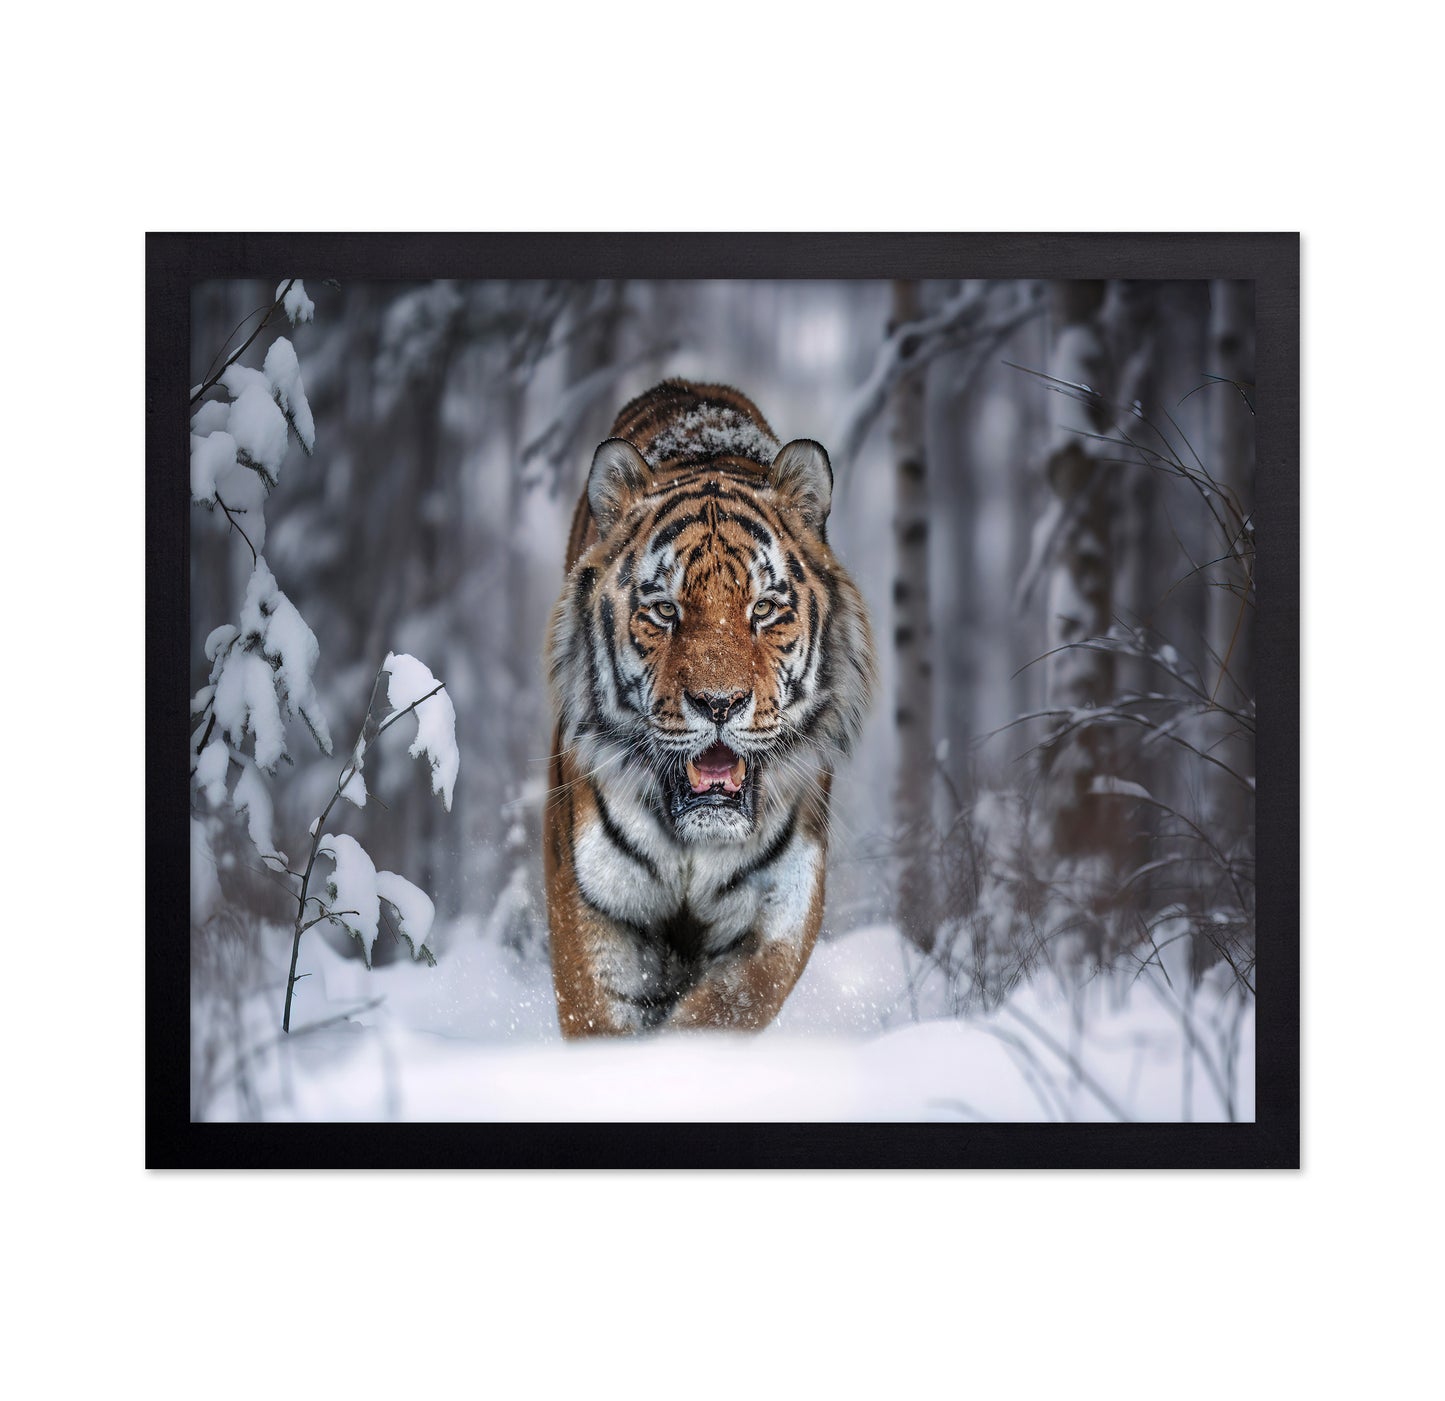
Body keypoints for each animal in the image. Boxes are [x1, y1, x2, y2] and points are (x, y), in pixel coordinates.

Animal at [543, 379, 875, 1037]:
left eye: (764, 609)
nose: (719, 703)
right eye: (664, 610)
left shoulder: (779, 910)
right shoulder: (591, 900)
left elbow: (721, 1013)